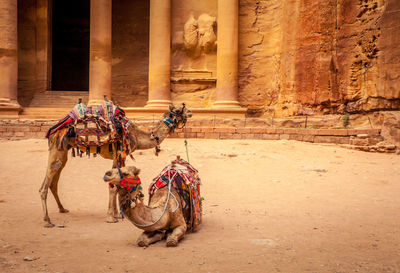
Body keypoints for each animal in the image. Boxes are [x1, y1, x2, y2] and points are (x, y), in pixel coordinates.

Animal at [39, 103, 192, 226]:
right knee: (48, 179)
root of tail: (54, 130)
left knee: (54, 179)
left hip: (63, 150)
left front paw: (117, 214)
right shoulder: (120, 152)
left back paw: (62, 209)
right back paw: (47, 220)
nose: (190, 111)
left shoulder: (117, 156)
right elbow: (113, 187)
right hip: (58, 147)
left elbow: (114, 184)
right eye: (178, 110)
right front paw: (111, 217)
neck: (136, 136)